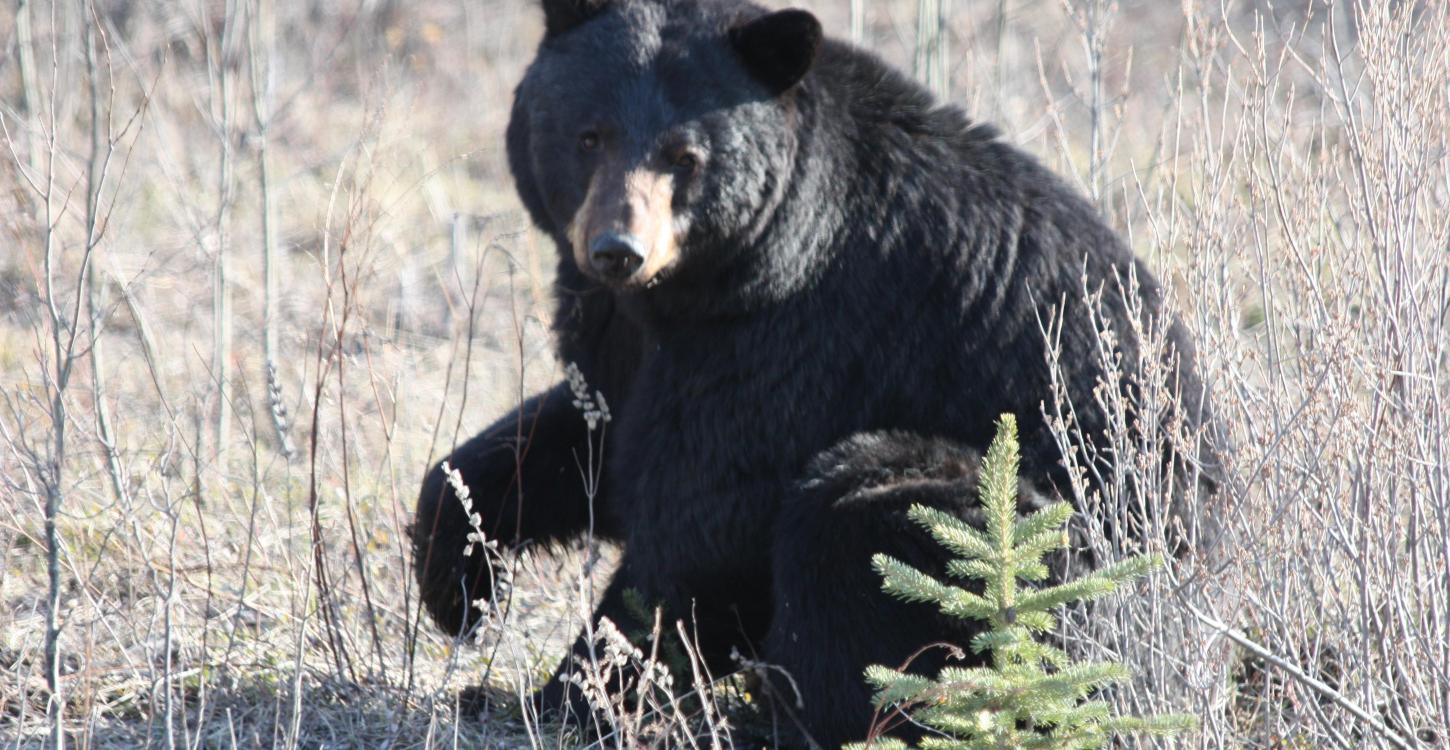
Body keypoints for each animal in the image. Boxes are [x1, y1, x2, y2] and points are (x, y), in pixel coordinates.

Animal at [411, 0, 1214, 745]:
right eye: (588, 136)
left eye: (685, 157)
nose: (617, 249)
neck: (710, 282)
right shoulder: (628, 337)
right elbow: (580, 441)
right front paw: (459, 587)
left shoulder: (802, 337)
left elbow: (702, 524)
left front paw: (560, 697)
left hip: (1040, 549)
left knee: (851, 524)